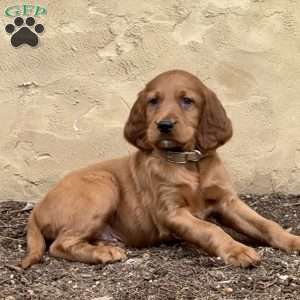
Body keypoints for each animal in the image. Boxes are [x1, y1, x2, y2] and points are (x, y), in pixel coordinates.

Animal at [20, 70, 300, 270]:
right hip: (102, 185)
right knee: (59, 245)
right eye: (153, 101)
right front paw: (237, 250)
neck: (188, 162)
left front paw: (293, 240)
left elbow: (266, 224)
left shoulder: (227, 201)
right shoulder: (172, 212)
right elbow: (211, 229)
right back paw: (103, 252)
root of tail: (37, 208)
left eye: (187, 101)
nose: (163, 125)